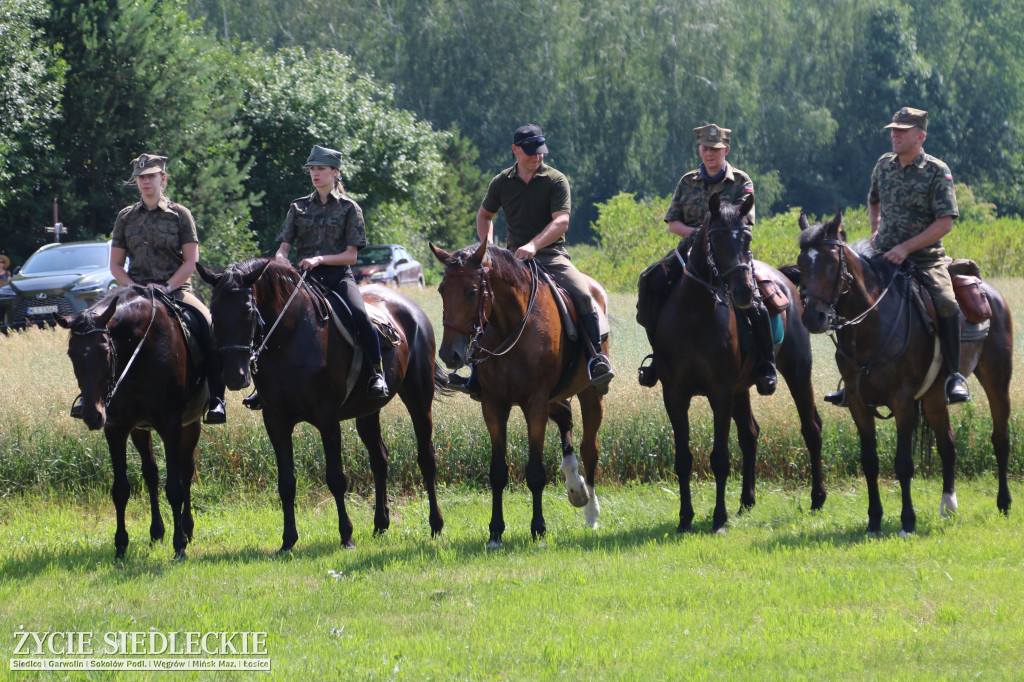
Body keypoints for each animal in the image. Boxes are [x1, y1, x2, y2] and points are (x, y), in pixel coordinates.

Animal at [56, 286, 209, 557]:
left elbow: (175, 489)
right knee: (151, 473)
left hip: (189, 424)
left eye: (106, 351)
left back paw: (188, 529)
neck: (138, 351)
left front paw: (179, 545)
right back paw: (156, 532)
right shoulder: (116, 429)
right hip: (140, 429)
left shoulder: (170, 426)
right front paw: (120, 546)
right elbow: (120, 490)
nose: (92, 416)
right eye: (71, 354)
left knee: (185, 471)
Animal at [195, 258, 444, 548]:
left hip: (419, 398)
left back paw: (436, 524)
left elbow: (336, 478)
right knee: (379, 460)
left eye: (248, 311)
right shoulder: (276, 421)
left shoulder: (327, 419)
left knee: (426, 458)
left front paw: (346, 535)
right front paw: (288, 541)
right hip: (368, 411)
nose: (235, 376)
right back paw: (381, 524)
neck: (290, 338)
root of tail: (413, 310)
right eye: (214, 312)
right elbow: (286, 483)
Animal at [428, 240, 602, 548]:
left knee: (589, 449)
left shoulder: (536, 404)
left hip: (590, 392)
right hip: (556, 398)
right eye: (441, 290)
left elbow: (535, 473)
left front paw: (538, 529)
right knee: (567, 423)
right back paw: (574, 484)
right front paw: (495, 532)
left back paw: (591, 512)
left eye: (472, 291)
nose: (450, 354)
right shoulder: (493, 405)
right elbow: (497, 472)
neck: (509, 324)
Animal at [651, 191, 827, 532]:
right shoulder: (675, 395)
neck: (693, 317)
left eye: (747, 238)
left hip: (797, 371)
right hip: (741, 389)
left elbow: (719, 458)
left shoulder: (719, 392)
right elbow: (683, 458)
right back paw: (747, 501)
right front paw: (685, 518)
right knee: (750, 434)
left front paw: (718, 518)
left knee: (811, 428)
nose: (745, 292)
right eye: (715, 240)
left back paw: (817, 498)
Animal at [794, 212, 1011, 532]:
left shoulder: (904, 401)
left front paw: (907, 520)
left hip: (997, 379)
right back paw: (948, 505)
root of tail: (991, 293)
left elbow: (903, 463)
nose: (813, 317)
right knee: (948, 444)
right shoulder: (858, 402)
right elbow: (869, 461)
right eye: (800, 265)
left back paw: (1004, 502)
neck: (871, 322)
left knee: (1000, 438)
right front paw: (874, 519)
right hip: (934, 398)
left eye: (832, 262)